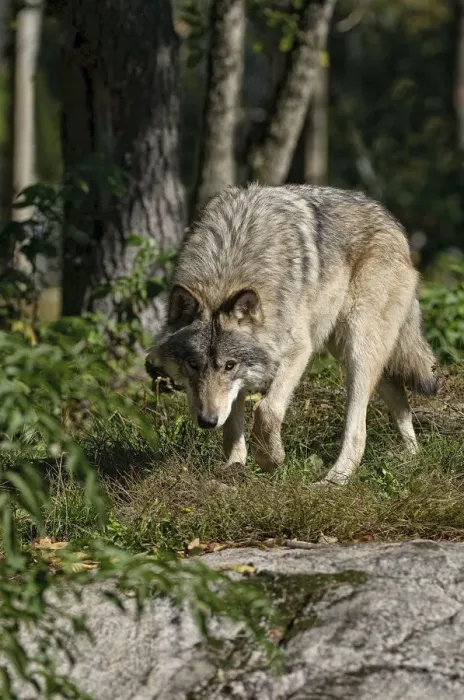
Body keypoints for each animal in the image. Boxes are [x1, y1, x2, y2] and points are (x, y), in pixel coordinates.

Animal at [147, 183, 437, 485]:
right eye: (193, 364)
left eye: (229, 365)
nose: (207, 421)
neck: (226, 271)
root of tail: (394, 223)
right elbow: (232, 427)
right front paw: (234, 468)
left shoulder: (299, 350)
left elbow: (267, 410)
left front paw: (270, 459)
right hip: (345, 346)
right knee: (397, 393)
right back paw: (412, 457)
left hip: (358, 348)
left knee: (358, 427)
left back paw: (334, 480)